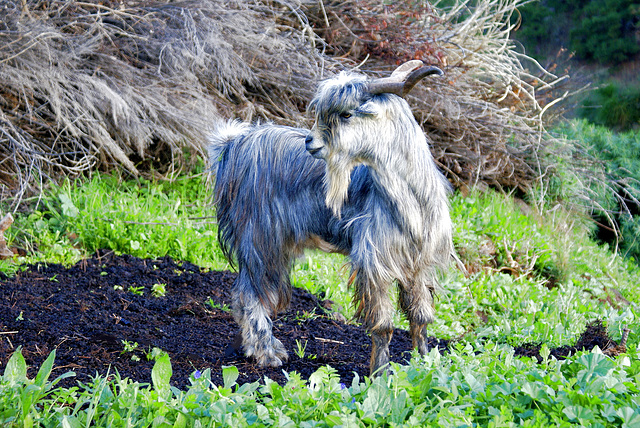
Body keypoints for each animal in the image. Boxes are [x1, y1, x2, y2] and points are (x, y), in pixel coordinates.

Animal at [208, 59, 452, 374]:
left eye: (346, 114)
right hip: (261, 236)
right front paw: (380, 373)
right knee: (250, 293)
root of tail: (236, 143)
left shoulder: (418, 263)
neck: (413, 198)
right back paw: (267, 353)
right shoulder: (374, 261)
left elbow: (420, 317)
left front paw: (425, 366)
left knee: (247, 293)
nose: (311, 143)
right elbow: (383, 324)